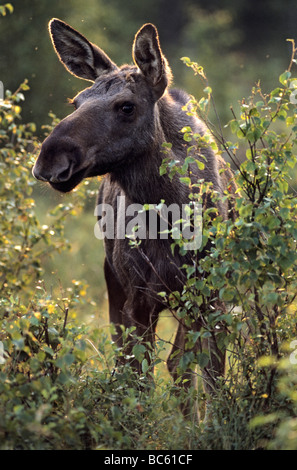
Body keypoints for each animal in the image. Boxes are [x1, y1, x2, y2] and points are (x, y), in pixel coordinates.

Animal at [33, 19, 236, 418]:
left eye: (126, 106)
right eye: (76, 102)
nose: (50, 158)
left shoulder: (209, 296)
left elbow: (209, 375)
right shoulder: (138, 298)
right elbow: (139, 378)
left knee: (179, 363)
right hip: (113, 280)